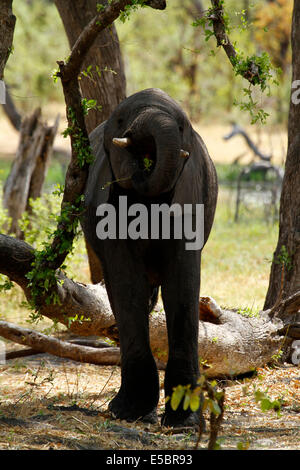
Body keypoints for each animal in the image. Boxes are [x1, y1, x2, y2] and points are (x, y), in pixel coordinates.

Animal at [81, 87, 218, 426]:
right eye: (119, 120)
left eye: (182, 127)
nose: (142, 164)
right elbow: (127, 283)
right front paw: (128, 411)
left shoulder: (189, 193)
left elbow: (183, 283)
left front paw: (184, 419)